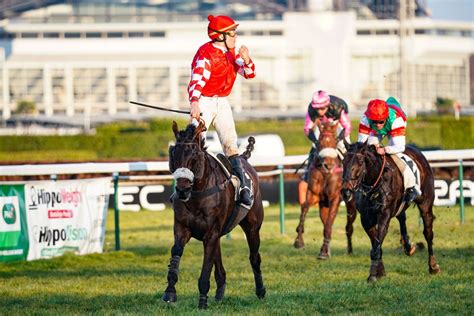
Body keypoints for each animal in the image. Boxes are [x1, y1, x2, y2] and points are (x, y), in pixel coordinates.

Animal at [163, 120, 266, 308]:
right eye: (173, 153)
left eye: (194, 155)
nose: (181, 190)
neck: (197, 194)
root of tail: (244, 158)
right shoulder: (182, 228)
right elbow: (176, 253)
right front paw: (170, 292)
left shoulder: (211, 232)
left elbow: (206, 267)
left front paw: (202, 301)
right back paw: (220, 292)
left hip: (252, 227)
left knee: (254, 257)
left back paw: (260, 290)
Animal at [292, 118, 356, 260]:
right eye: (319, 142)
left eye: (334, 141)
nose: (328, 165)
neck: (326, 174)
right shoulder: (313, 194)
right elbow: (304, 208)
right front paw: (299, 240)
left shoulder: (335, 198)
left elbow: (328, 225)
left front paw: (324, 253)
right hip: (323, 206)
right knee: (325, 220)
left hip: (351, 205)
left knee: (348, 225)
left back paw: (349, 249)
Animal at [340, 141, 440, 282]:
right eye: (343, 161)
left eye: (360, 162)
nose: (346, 191)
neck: (375, 185)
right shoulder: (366, 218)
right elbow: (375, 244)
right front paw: (380, 272)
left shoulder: (384, 215)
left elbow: (376, 246)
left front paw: (372, 275)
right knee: (402, 217)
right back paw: (407, 246)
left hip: (426, 204)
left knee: (428, 233)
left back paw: (433, 266)